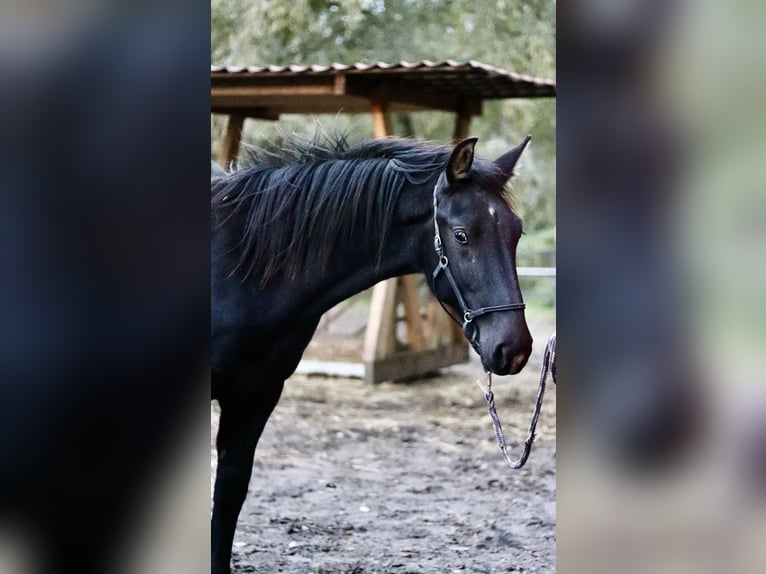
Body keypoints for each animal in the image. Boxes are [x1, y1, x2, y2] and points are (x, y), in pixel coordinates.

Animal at [210, 132, 534, 573]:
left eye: (516, 233)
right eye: (462, 235)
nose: (514, 349)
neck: (237, 268)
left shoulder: (255, 396)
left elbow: (228, 497)